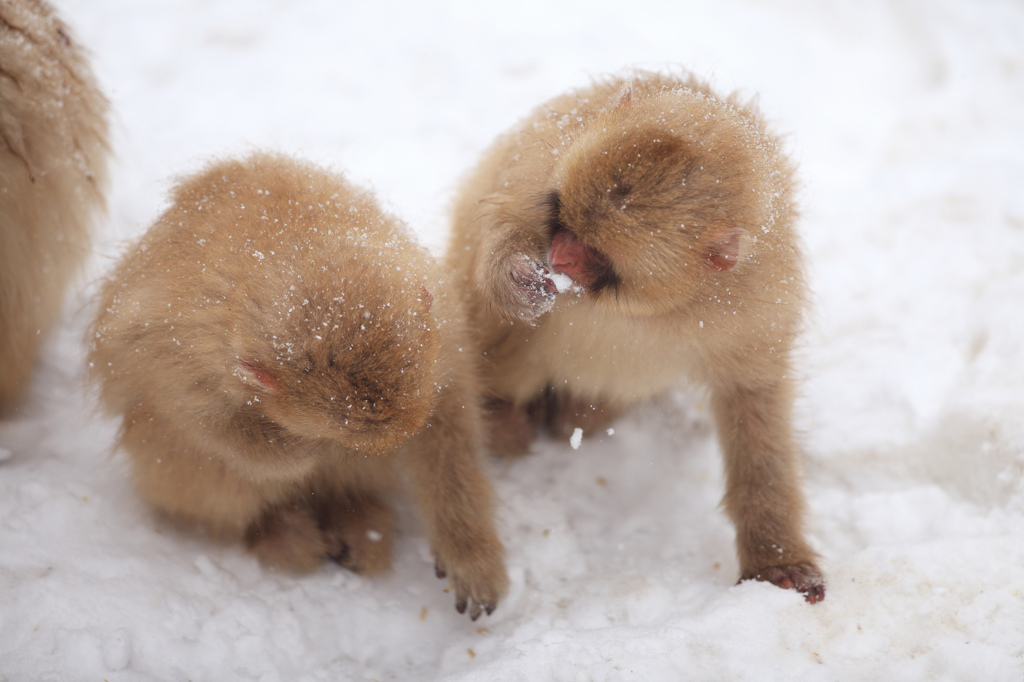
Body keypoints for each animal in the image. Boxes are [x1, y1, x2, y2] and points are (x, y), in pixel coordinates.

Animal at [94, 152, 509, 614]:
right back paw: (276, 529)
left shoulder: (443, 340)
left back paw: (356, 517)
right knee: (199, 466)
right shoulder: (180, 352)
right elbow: (196, 419)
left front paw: (469, 553)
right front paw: (297, 454)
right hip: (170, 468)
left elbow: (448, 436)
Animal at [446, 70, 823, 602]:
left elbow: (754, 402)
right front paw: (517, 277)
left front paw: (777, 558)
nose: (558, 259)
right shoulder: (537, 166)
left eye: (597, 256)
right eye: (560, 219)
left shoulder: (754, 303)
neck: (650, 309)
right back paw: (501, 417)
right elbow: (496, 222)